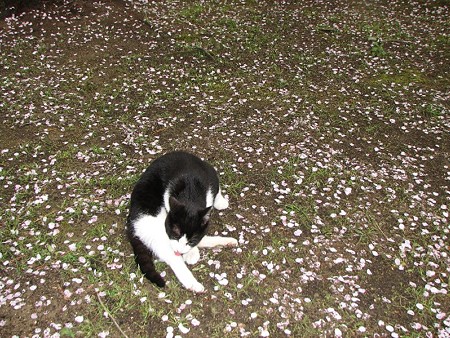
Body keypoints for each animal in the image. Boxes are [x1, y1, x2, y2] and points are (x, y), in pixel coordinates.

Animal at [126, 151, 237, 294]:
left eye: (191, 239)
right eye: (175, 234)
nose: (180, 250)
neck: (190, 192)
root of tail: (130, 223)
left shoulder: (211, 177)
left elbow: (216, 193)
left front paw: (220, 201)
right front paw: (191, 252)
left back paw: (229, 241)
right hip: (153, 224)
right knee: (173, 259)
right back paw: (193, 283)